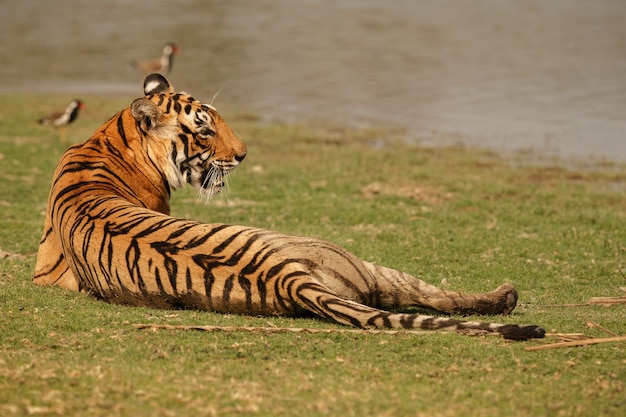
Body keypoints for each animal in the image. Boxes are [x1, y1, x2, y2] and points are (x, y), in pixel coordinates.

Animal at [33, 73, 540, 340]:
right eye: (204, 130)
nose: (244, 155)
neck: (109, 137)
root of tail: (286, 278)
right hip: (350, 257)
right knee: (428, 292)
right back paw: (507, 294)